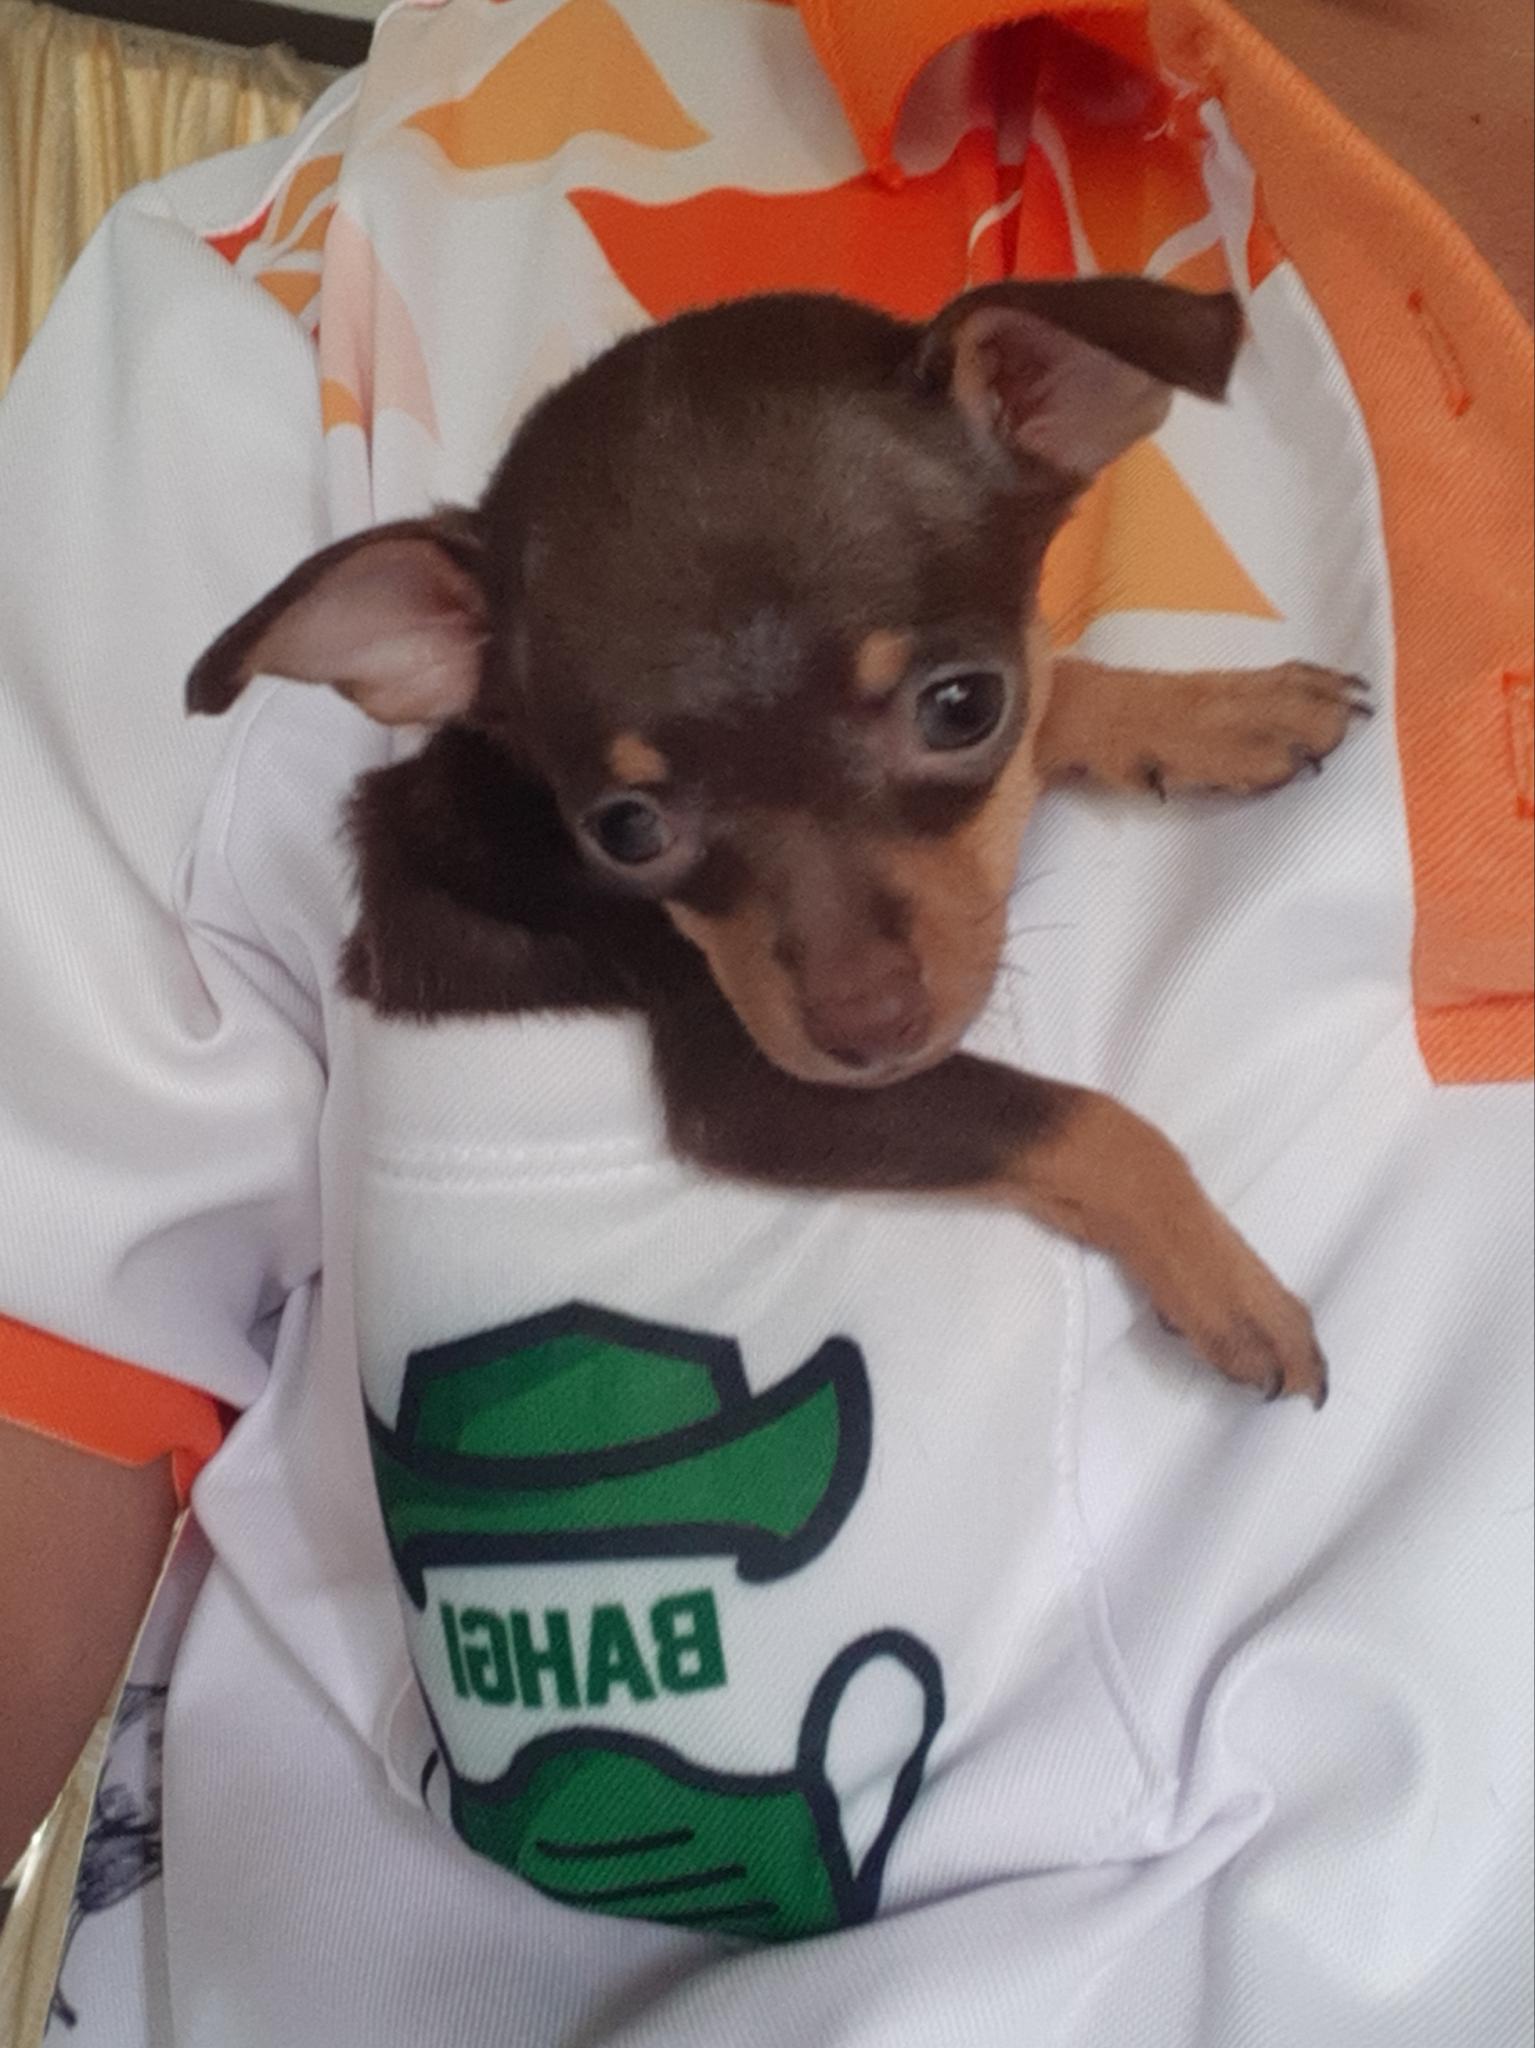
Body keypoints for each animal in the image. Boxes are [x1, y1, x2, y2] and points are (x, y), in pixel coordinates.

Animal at [188, 278, 1367, 1408]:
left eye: (963, 707)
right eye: (624, 829)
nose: (868, 1030)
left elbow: (1056, 684)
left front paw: (1214, 712)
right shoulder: (752, 1093)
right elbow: (1085, 1123)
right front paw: (1223, 1280)